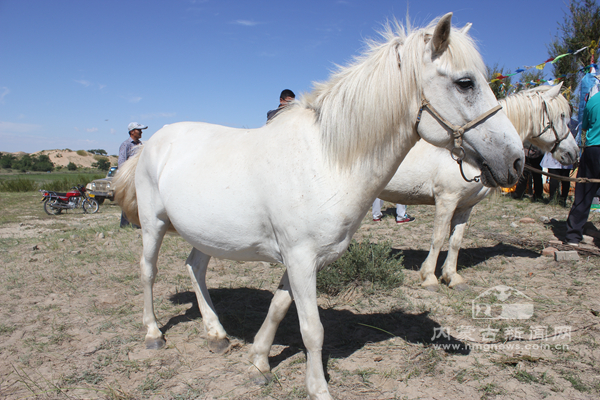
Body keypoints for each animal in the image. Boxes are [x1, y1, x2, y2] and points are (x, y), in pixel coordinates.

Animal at [113, 14, 524, 398]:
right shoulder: (299, 257)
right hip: (153, 224)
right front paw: (317, 388)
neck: (325, 161)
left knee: (195, 268)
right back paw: (153, 333)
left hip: (207, 233)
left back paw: (216, 335)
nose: (516, 160)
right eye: (465, 82)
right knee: (148, 271)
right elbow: (312, 329)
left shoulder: (302, 260)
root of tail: (154, 142)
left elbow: (279, 307)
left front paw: (259, 362)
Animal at [380, 83, 576, 290]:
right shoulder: (446, 200)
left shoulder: (465, 206)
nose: (574, 153)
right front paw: (429, 278)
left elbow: (455, 240)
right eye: (562, 115)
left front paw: (452, 277)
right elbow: (438, 238)